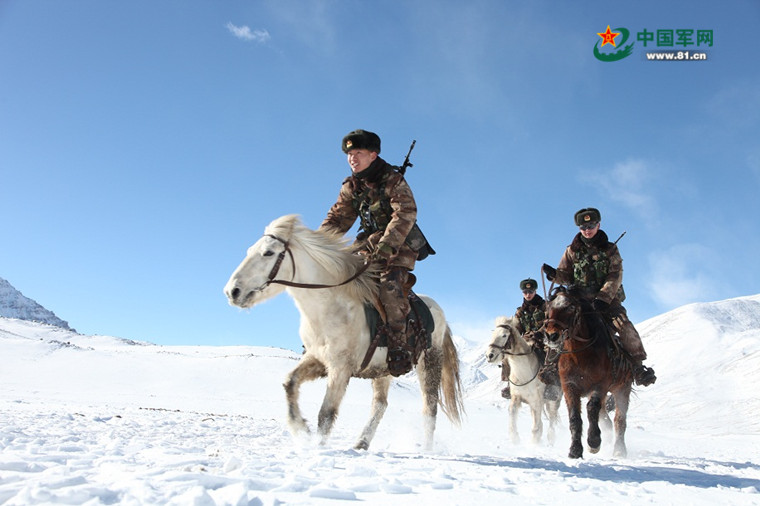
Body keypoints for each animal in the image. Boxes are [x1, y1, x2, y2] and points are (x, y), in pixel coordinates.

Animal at [224, 214, 464, 450]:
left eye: (268, 252)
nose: (232, 291)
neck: (327, 306)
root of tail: (439, 312)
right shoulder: (318, 359)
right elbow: (290, 382)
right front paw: (300, 428)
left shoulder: (340, 368)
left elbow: (326, 413)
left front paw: (318, 447)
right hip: (384, 370)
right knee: (380, 404)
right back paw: (361, 443)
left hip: (429, 363)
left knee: (429, 407)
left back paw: (426, 449)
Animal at [544, 288, 632, 458]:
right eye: (549, 307)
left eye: (571, 307)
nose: (551, 335)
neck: (581, 355)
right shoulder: (569, 386)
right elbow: (574, 418)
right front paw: (575, 450)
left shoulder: (600, 385)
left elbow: (591, 409)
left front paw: (594, 442)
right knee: (605, 418)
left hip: (622, 389)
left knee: (619, 420)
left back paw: (619, 450)